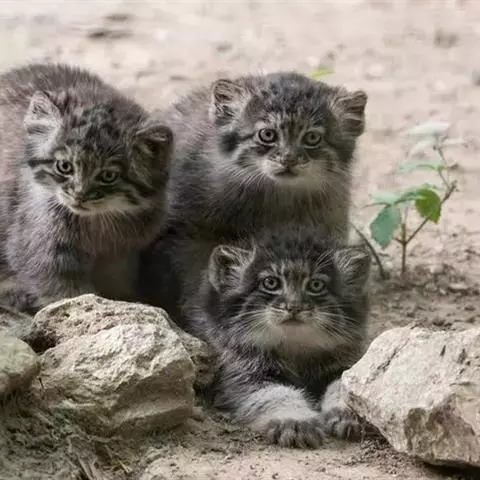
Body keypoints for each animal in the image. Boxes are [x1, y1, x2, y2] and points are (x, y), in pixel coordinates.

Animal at [0, 63, 172, 311]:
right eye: (64, 166)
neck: (100, 224)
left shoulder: (123, 254)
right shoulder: (42, 248)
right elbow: (68, 294)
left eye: (108, 176)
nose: (79, 196)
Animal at [186, 227, 371, 448]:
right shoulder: (243, 371)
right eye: (270, 282)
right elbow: (277, 392)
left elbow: (344, 383)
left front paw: (350, 410)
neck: (294, 348)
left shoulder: (344, 360)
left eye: (316, 285)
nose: (294, 307)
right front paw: (295, 420)